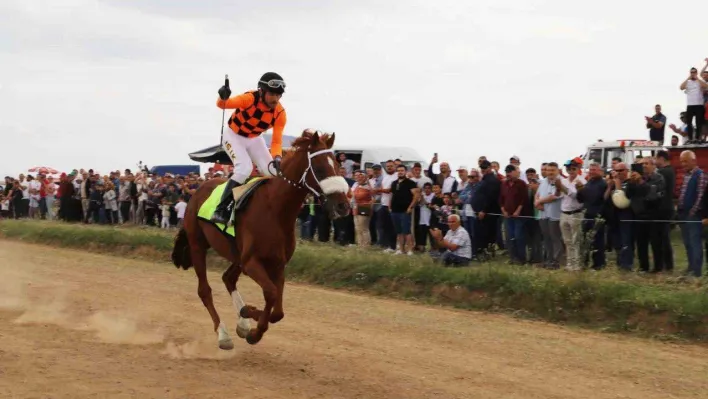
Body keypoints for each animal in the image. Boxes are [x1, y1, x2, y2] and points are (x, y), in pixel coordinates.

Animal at [171, 132, 348, 350]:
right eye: (321, 168)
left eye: (338, 166)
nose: (343, 206)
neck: (276, 210)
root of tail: (196, 189)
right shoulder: (252, 263)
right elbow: (271, 293)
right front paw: (254, 330)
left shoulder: (277, 263)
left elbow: (278, 311)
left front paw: (248, 316)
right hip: (198, 245)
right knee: (204, 290)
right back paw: (223, 334)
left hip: (237, 255)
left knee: (228, 278)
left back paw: (242, 323)